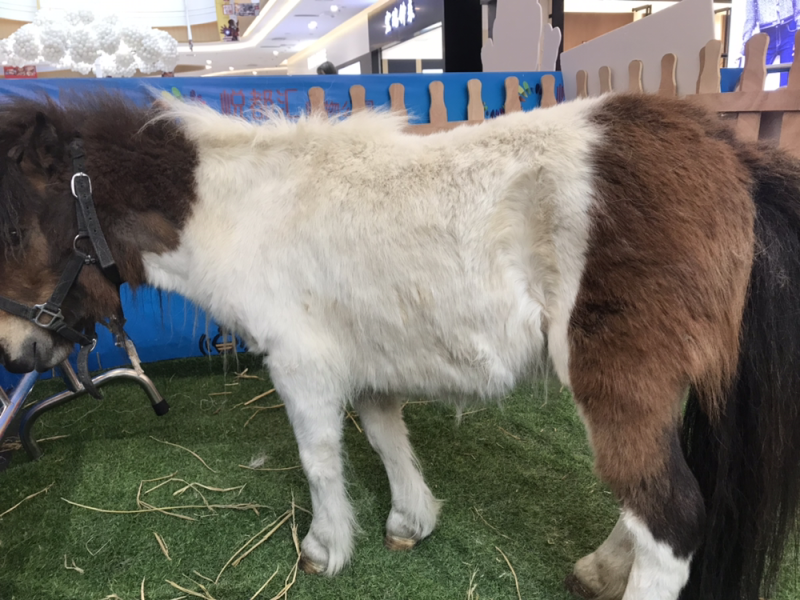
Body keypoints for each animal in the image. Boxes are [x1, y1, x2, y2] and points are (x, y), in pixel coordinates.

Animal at [0, 89, 798, 600]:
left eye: (12, 230)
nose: (15, 353)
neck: (246, 210)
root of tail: (730, 156)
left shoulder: (301, 366)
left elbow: (320, 459)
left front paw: (326, 548)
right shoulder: (365, 357)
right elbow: (385, 434)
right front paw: (410, 521)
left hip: (618, 384)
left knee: (671, 515)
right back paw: (600, 570)